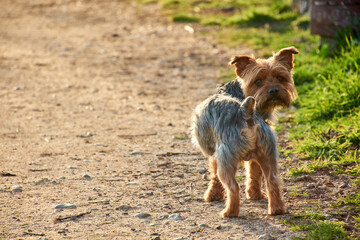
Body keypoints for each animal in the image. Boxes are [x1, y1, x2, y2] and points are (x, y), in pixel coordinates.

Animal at [191, 47, 298, 218]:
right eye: (258, 81)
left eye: (280, 78)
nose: (274, 90)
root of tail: (245, 113)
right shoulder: (256, 157)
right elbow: (254, 173)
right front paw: (254, 194)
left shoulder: (215, 154)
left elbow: (213, 174)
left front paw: (213, 195)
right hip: (268, 154)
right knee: (272, 181)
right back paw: (276, 209)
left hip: (226, 159)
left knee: (233, 187)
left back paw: (229, 212)